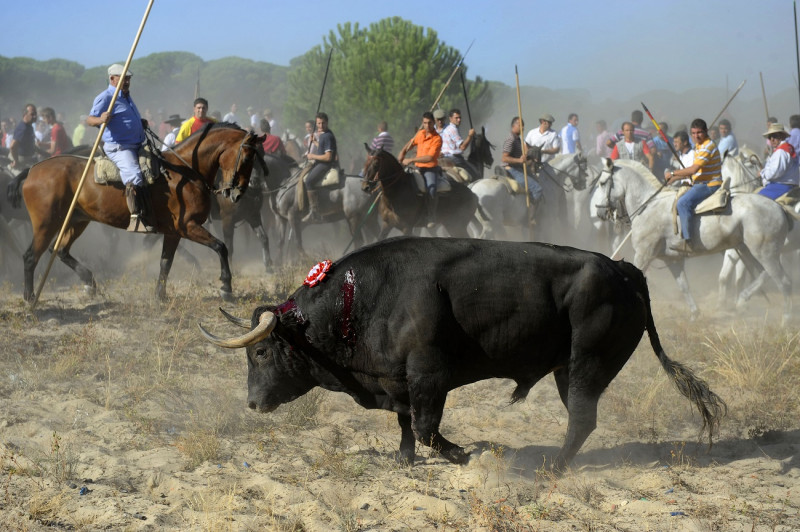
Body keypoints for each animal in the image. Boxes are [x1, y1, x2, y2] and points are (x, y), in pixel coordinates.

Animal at [15, 122, 264, 302]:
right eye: (247, 157)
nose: (239, 193)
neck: (185, 173)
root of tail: (32, 170)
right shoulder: (188, 227)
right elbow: (221, 247)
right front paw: (226, 286)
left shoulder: (173, 232)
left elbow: (165, 263)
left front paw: (160, 295)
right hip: (46, 223)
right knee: (30, 256)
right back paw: (30, 298)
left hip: (77, 221)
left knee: (60, 250)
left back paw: (89, 282)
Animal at [198, 237, 724, 470]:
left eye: (261, 352)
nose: (253, 403)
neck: (360, 299)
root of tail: (623, 270)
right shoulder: (398, 382)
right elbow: (407, 426)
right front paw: (404, 461)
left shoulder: (429, 377)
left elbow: (428, 429)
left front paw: (463, 454)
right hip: (567, 369)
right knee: (583, 420)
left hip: (585, 366)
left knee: (581, 419)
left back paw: (553, 466)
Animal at [592, 156, 792, 322]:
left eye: (602, 183)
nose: (600, 212)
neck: (648, 205)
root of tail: (779, 208)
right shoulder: (672, 260)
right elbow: (683, 286)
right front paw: (695, 313)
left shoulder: (643, 255)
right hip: (750, 250)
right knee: (767, 275)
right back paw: (743, 301)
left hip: (764, 252)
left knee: (783, 281)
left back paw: (786, 320)